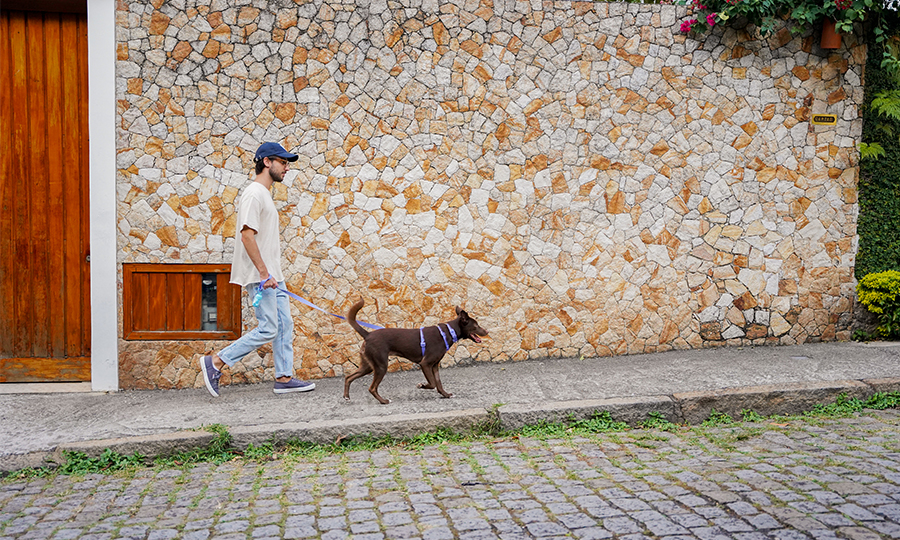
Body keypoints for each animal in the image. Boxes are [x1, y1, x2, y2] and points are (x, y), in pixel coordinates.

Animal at [342, 302, 488, 402]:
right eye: (476, 326)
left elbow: (438, 383)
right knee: (372, 388)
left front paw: (445, 395)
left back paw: (346, 397)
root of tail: (368, 335)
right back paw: (384, 401)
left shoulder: (434, 365)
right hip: (381, 365)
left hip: (368, 365)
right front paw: (422, 385)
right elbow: (432, 383)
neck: (448, 332)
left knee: (349, 377)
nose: (487, 331)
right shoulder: (425, 364)